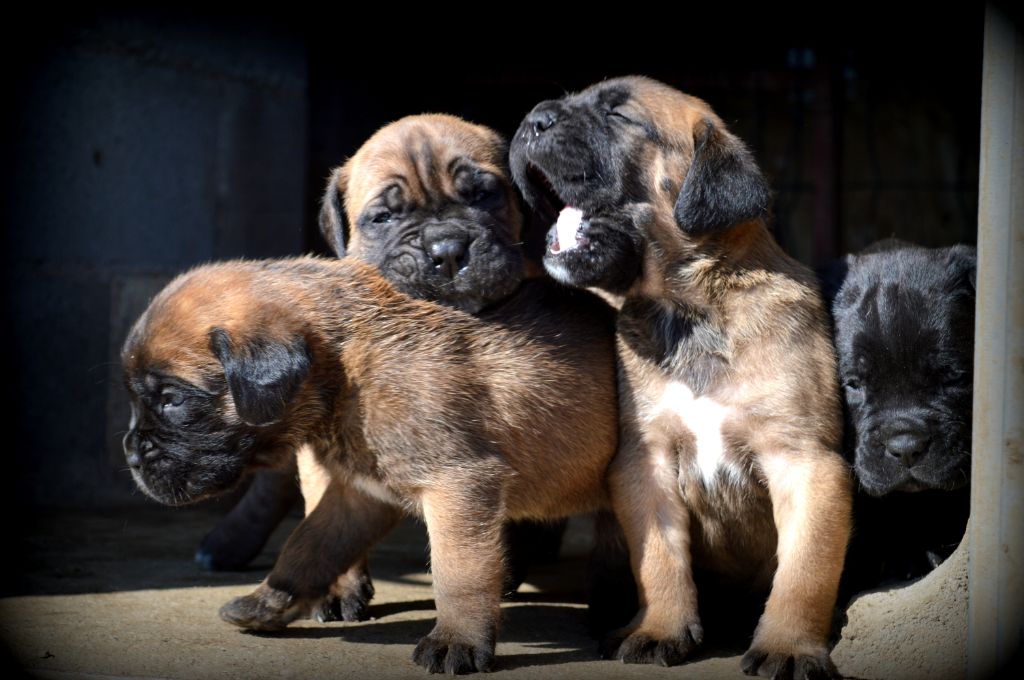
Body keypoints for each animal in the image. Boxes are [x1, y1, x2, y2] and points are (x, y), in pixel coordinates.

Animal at [119, 256, 614, 675]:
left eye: (171, 399)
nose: (130, 454)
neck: (349, 368)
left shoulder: (459, 487)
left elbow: (458, 573)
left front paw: (457, 641)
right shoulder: (359, 496)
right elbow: (309, 544)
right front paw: (270, 601)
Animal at [507, 76, 851, 675]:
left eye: (620, 116)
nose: (532, 121)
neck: (691, 309)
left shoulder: (806, 462)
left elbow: (804, 571)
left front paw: (788, 646)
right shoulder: (647, 463)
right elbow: (661, 560)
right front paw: (660, 630)